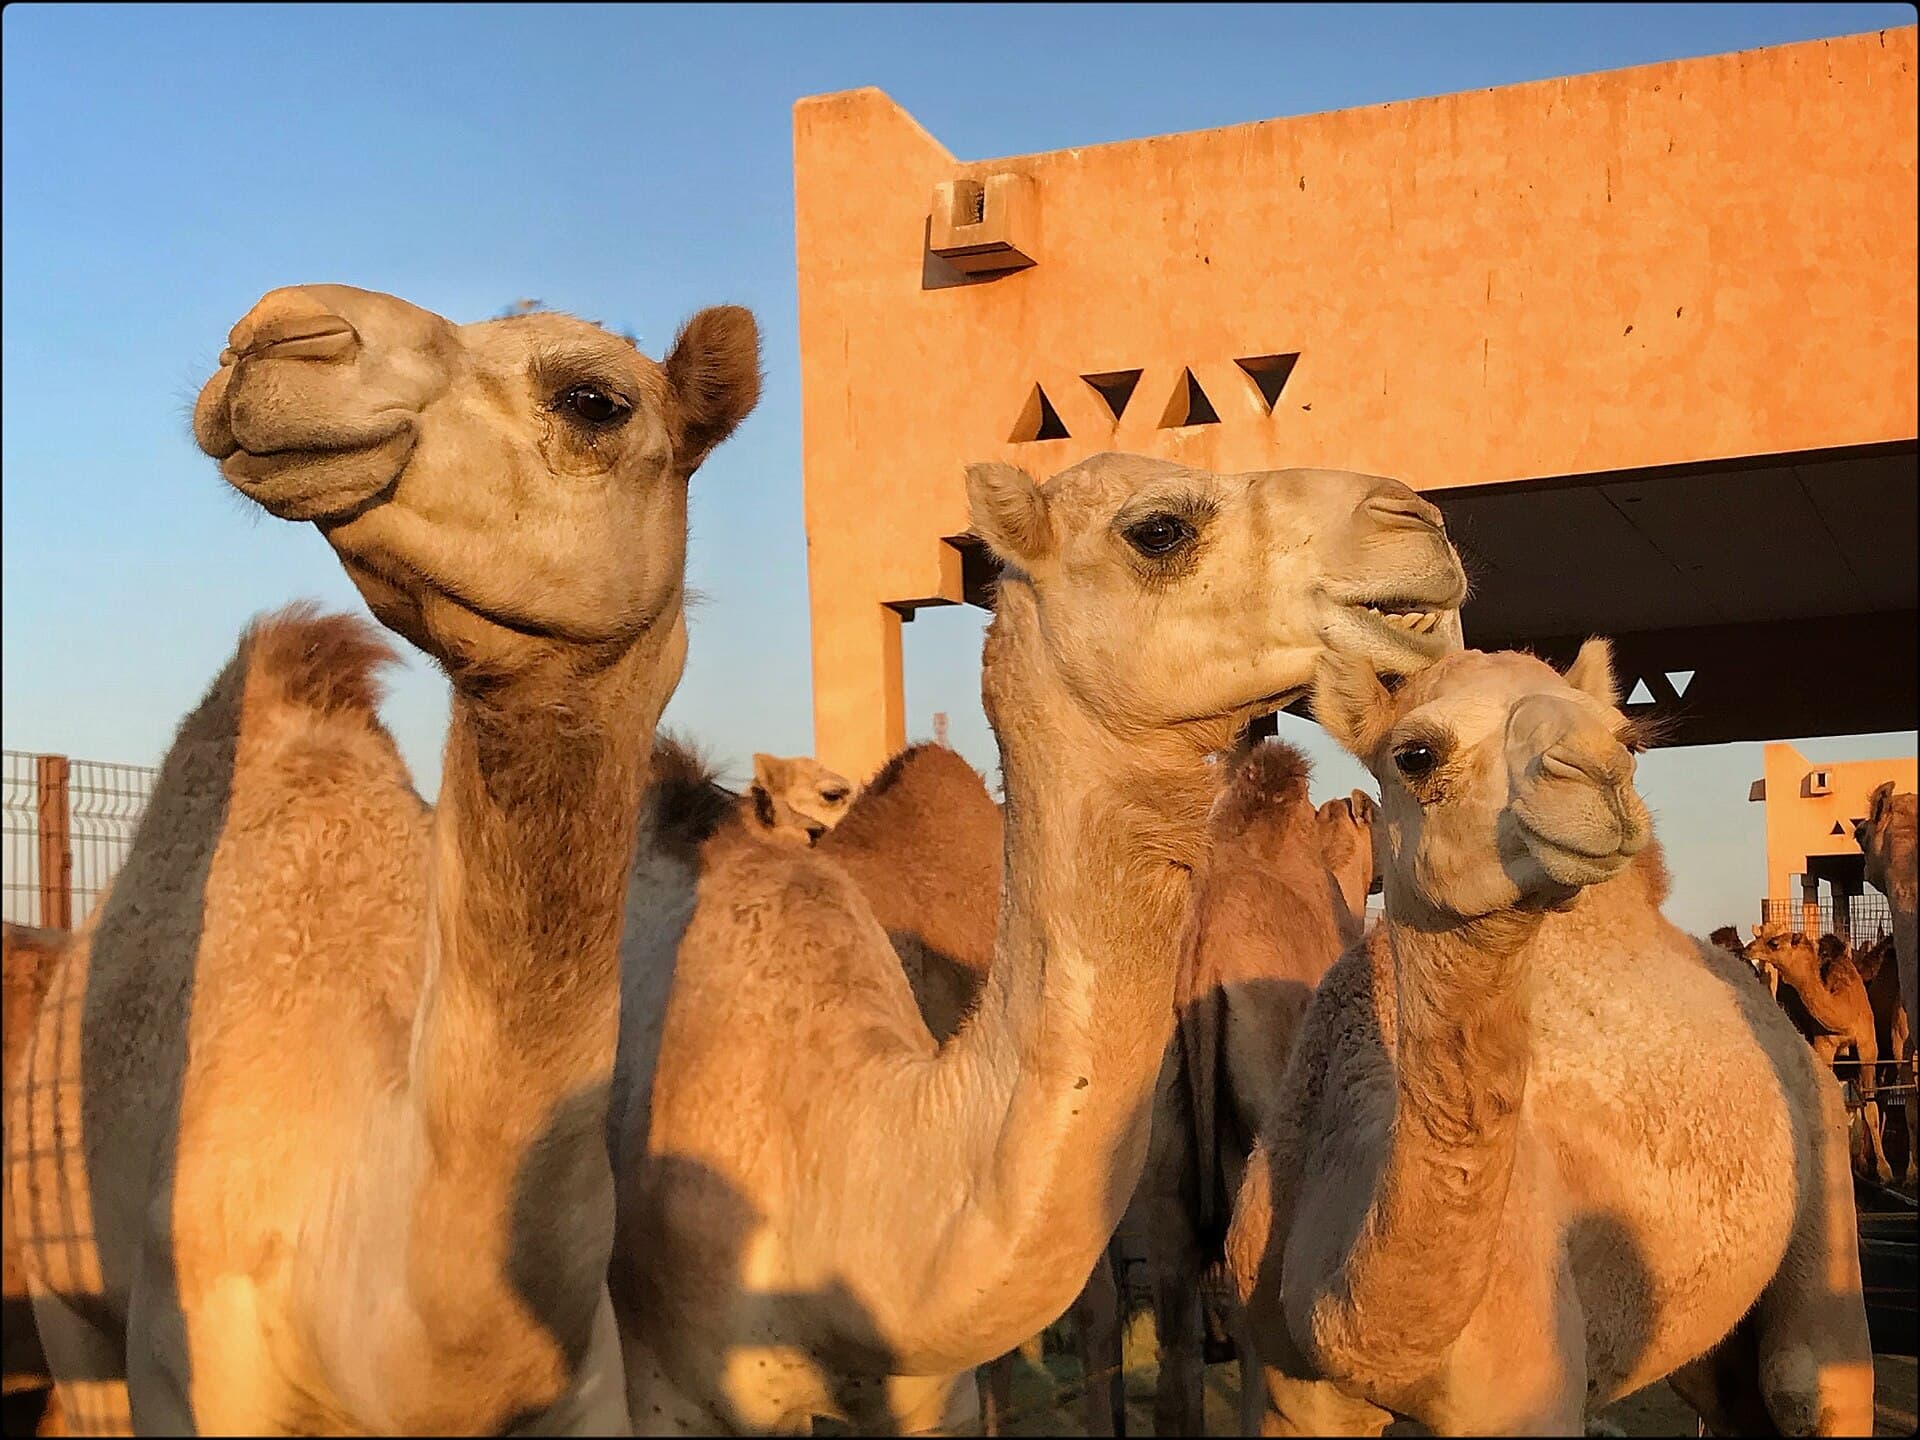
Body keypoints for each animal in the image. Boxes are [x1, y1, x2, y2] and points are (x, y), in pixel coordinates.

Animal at [1226, 642, 1874, 1436]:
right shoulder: (1281, 1392)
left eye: (1628, 740)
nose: (1599, 774)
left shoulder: (1527, 1398)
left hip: (1828, 1186)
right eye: (1416, 755)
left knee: (1806, 1381)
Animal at [1746, 928, 1892, 1183]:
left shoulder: (1868, 1047)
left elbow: (1870, 1108)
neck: (1844, 1012)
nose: (1748, 949)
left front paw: (1883, 1170)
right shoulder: (1823, 1046)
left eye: (1774, 943)